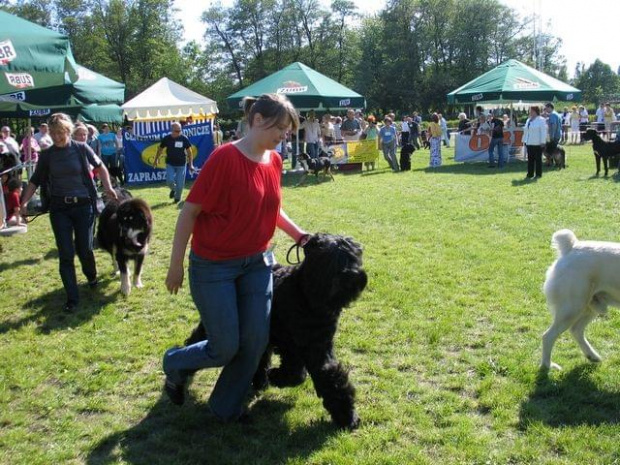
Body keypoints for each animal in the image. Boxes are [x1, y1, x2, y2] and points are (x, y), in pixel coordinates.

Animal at [184, 232, 368, 428]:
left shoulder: (319, 347)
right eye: (330, 258)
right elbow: (296, 373)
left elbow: (330, 375)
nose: (354, 276)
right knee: (199, 340)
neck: (307, 295)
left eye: (355, 255)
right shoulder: (291, 346)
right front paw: (276, 376)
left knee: (260, 356)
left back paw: (260, 381)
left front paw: (348, 416)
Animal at [540, 229, 620, 370]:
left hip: (588, 307)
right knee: (548, 336)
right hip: (572, 308)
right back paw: (548, 365)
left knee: (576, 330)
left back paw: (592, 356)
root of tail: (572, 247)